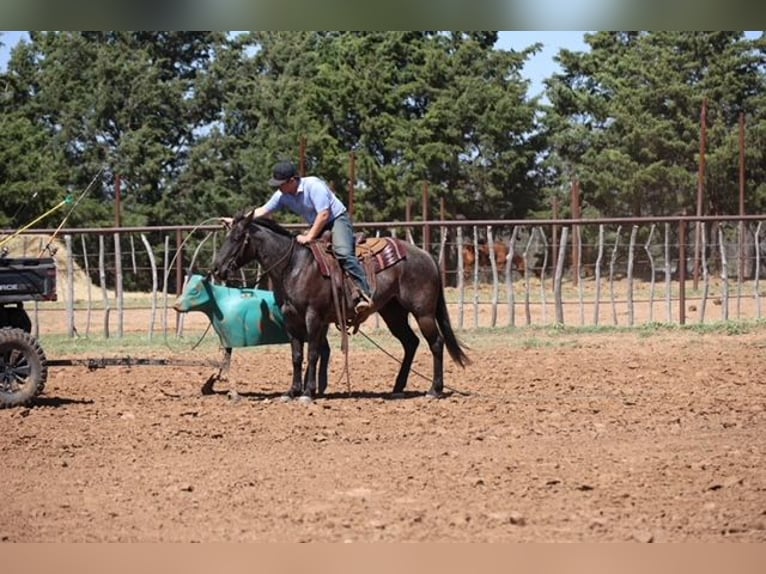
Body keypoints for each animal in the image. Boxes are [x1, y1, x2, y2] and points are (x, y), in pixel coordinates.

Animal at [211, 212, 470, 400]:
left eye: (237, 238)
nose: (216, 269)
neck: (294, 265)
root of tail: (427, 256)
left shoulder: (314, 317)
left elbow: (313, 352)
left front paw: (308, 393)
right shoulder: (291, 318)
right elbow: (296, 355)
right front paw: (292, 391)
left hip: (422, 312)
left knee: (436, 343)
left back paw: (434, 390)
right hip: (393, 313)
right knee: (411, 342)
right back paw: (397, 388)